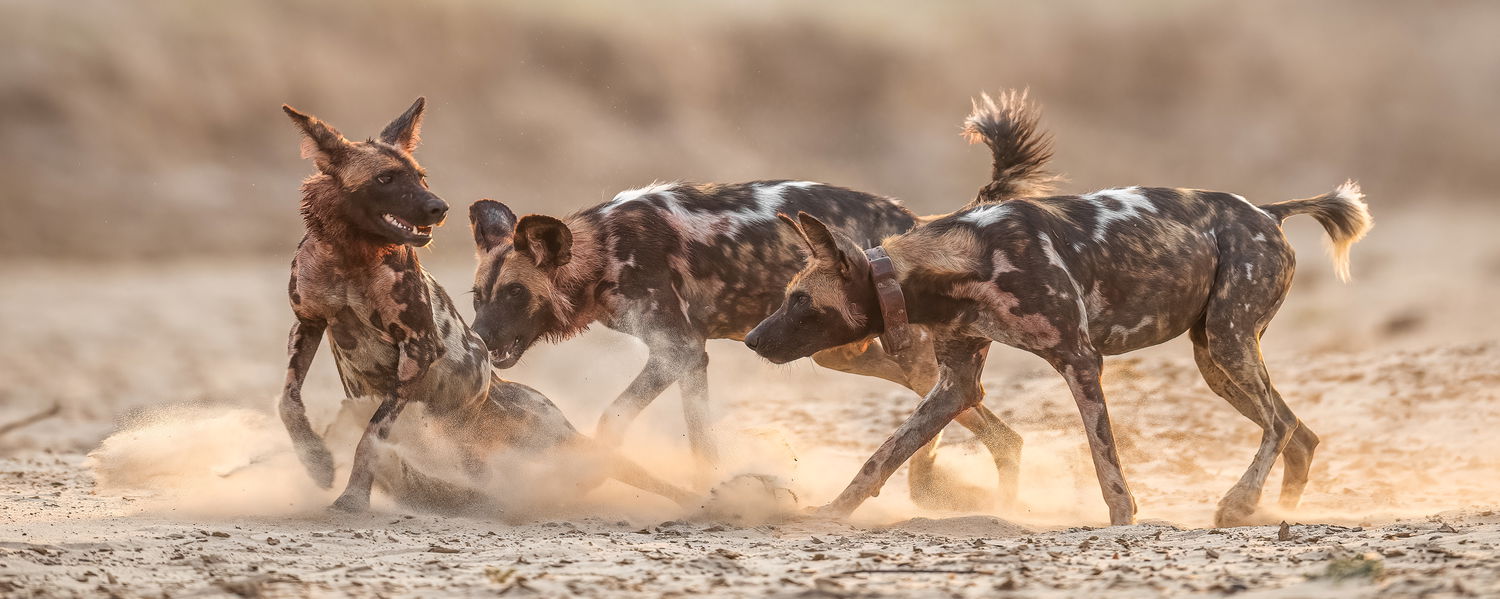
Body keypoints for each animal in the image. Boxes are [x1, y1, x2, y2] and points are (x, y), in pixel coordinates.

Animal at [279, 97, 693, 510]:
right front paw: (316, 463)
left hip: (561, 440)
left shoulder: (418, 347)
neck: (350, 259)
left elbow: (371, 435)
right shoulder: (308, 325)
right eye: (386, 179)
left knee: (618, 466)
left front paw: (351, 499)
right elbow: (288, 403)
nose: (439, 207)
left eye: (421, 176)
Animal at [750, 112, 1374, 525]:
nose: (754, 340)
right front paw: (834, 511)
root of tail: (1266, 211)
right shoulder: (955, 386)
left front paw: (1123, 519)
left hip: (1227, 343)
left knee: (1279, 425)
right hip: (1216, 361)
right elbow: (881, 457)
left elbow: (1106, 461)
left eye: (800, 301)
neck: (956, 268)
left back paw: (1239, 503)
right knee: (1297, 431)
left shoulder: (1079, 360)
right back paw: (1276, 510)